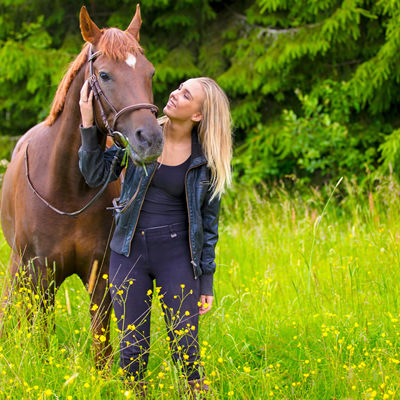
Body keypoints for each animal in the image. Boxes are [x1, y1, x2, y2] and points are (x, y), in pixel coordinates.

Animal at [0, 4, 162, 368]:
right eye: (104, 75)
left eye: (150, 72)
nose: (151, 139)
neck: (68, 188)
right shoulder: (41, 274)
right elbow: (41, 335)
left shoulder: (99, 275)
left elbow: (101, 347)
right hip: (20, 267)